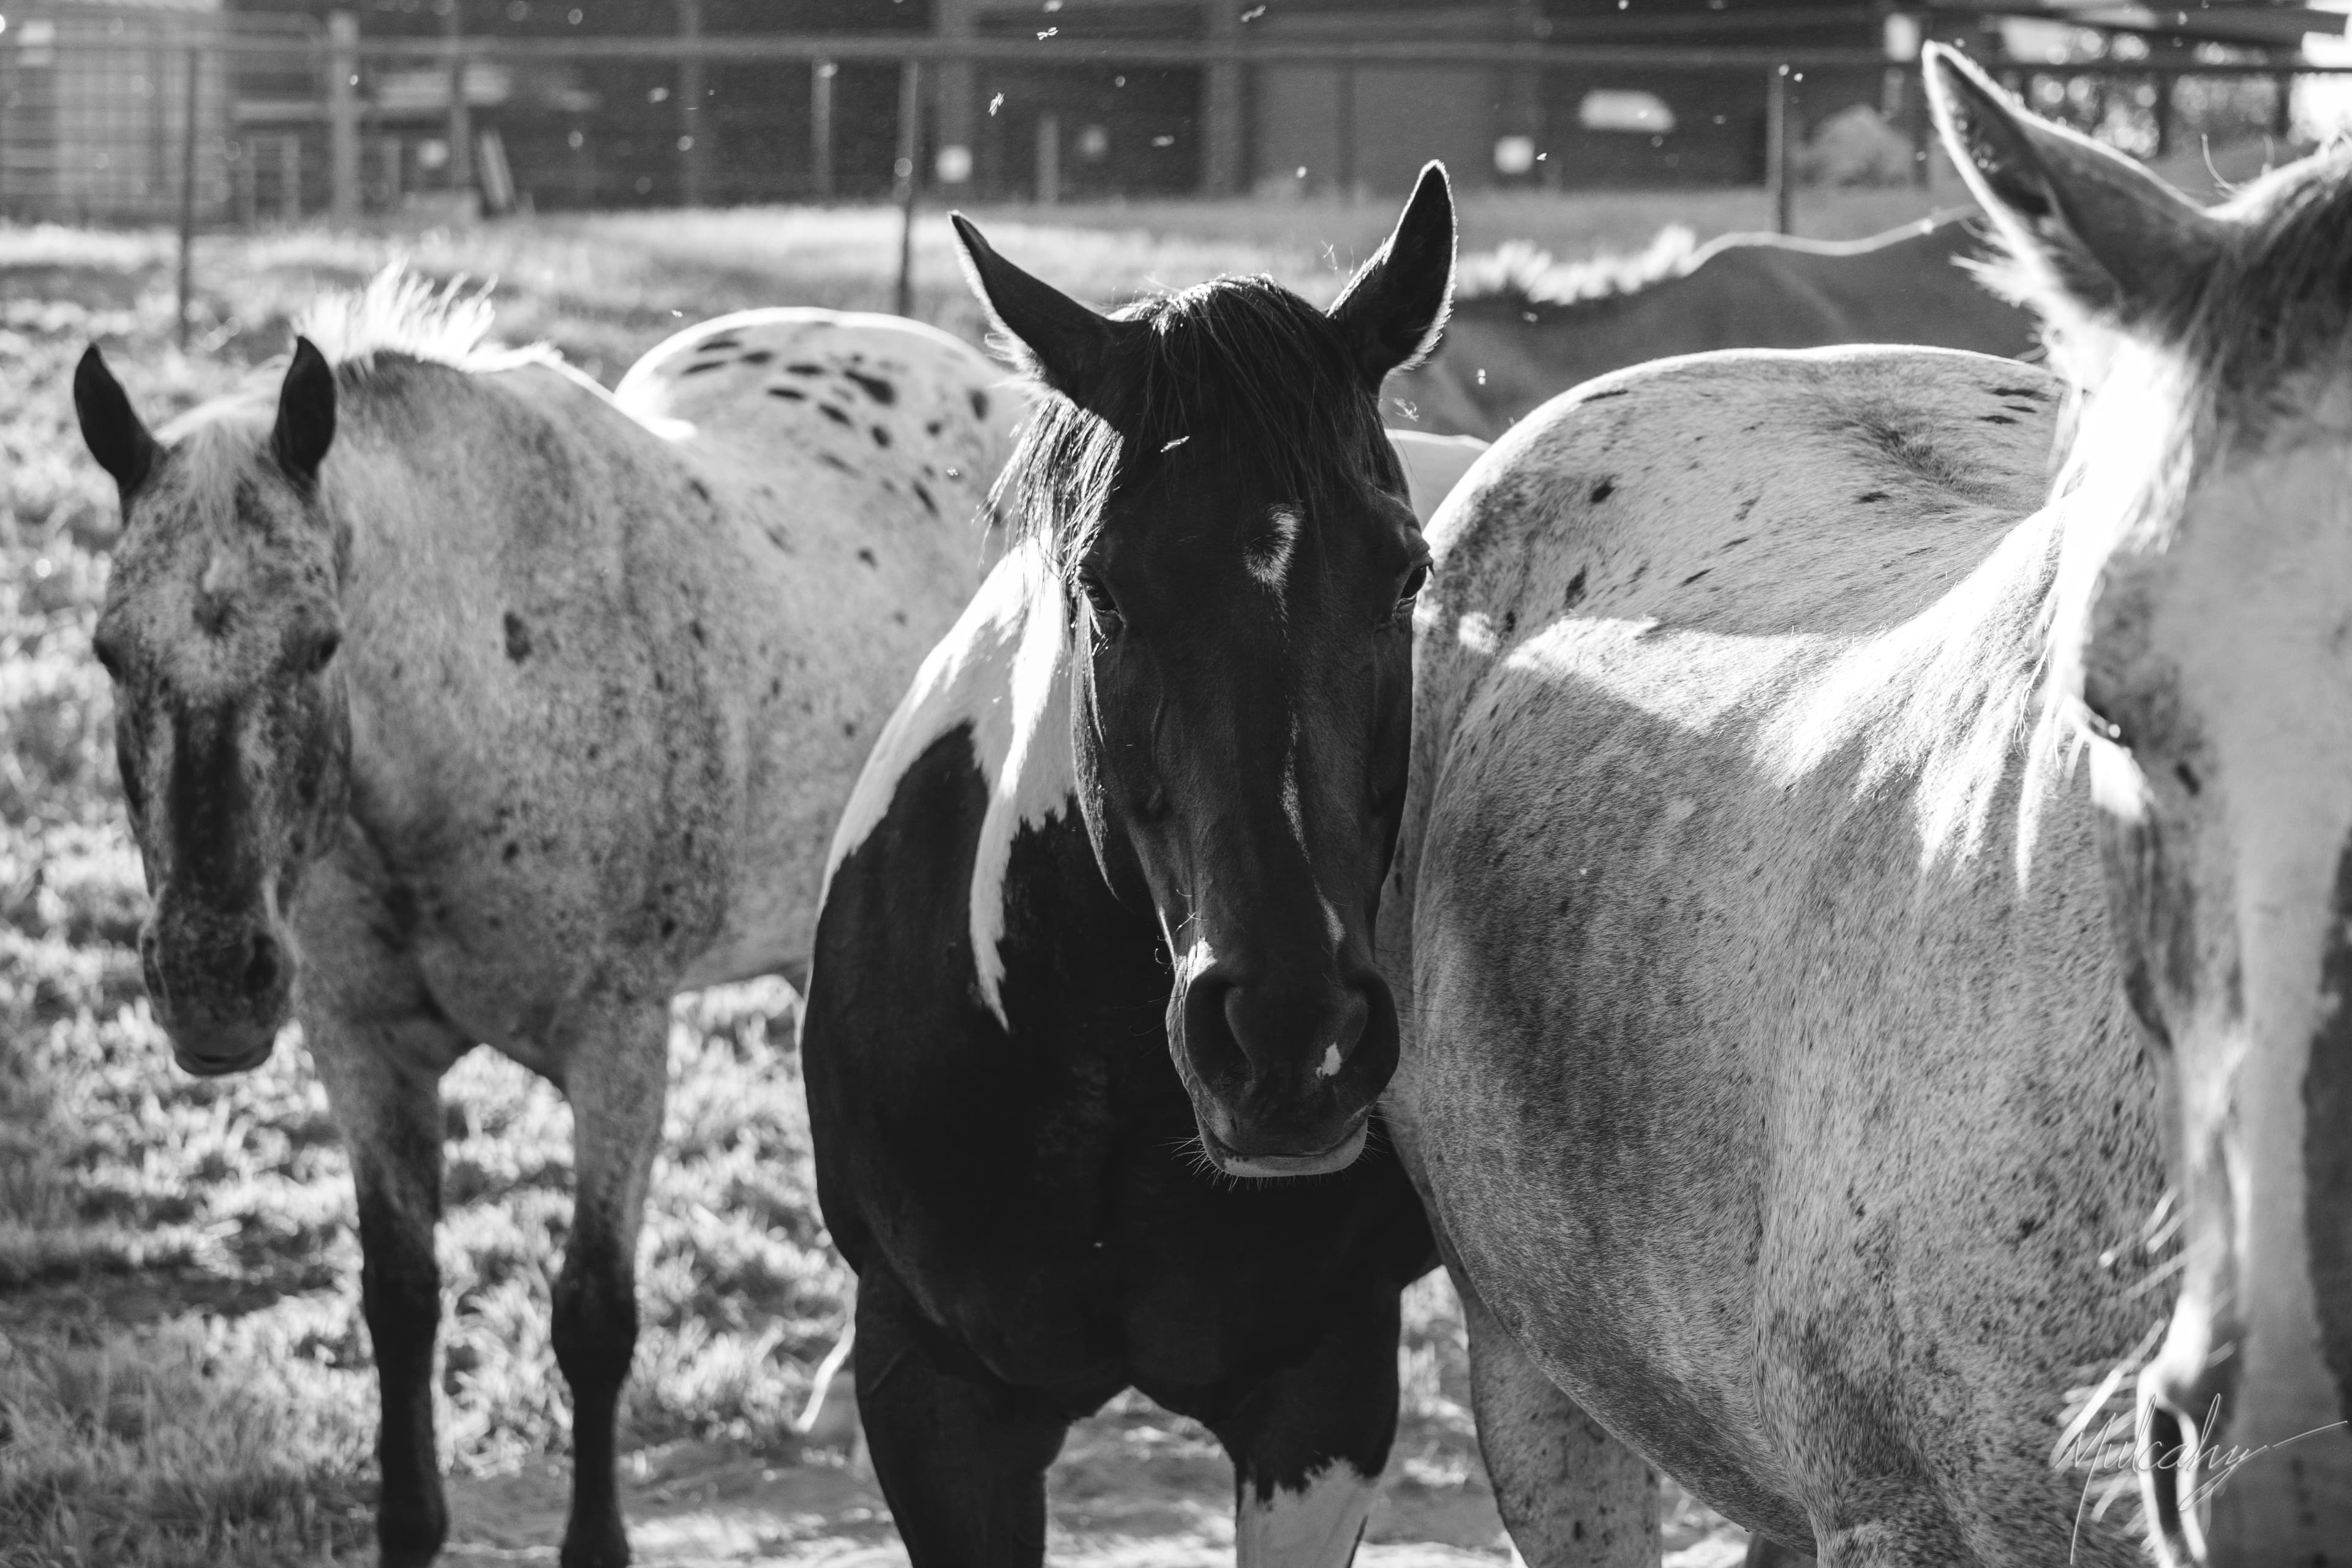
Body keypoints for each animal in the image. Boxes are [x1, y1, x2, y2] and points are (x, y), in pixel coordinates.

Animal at [70, 272, 1023, 1568]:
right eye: (111, 652)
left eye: (322, 643)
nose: (212, 982)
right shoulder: (362, 1049)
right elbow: (400, 1300)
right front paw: (409, 1523)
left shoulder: (617, 1046)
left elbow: (593, 1318)